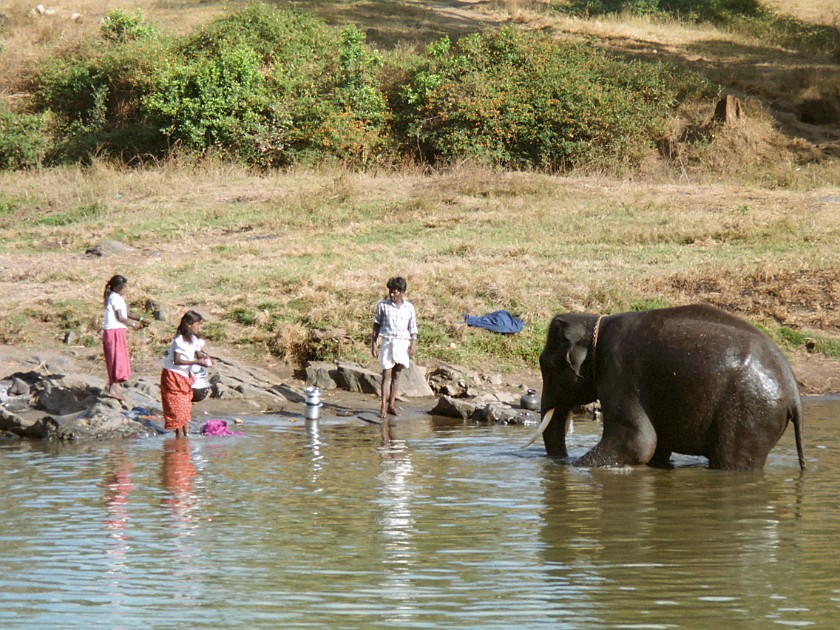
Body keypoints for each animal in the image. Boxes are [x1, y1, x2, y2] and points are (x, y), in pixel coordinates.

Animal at [528, 304, 804, 472]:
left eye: (546, 364)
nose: (559, 460)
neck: (597, 323)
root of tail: (794, 391)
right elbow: (655, 448)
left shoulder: (618, 373)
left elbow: (638, 442)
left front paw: (574, 467)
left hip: (748, 414)